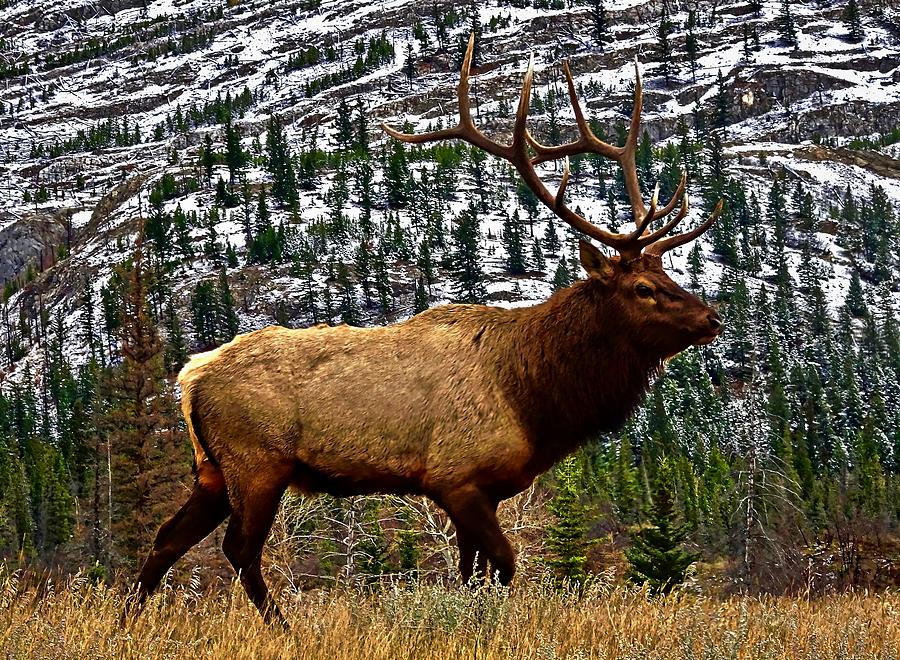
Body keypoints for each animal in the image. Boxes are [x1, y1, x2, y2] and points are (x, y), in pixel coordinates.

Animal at [128, 34, 724, 624]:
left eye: (668, 273)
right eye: (642, 288)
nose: (711, 317)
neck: (534, 399)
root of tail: (190, 377)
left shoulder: (486, 490)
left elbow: (473, 573)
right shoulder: (454, 477)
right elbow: (502, 567)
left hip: (212, 471)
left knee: (164, 539)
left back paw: (130, 619)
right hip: (257, 461)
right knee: (239, 548)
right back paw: (283, 626)